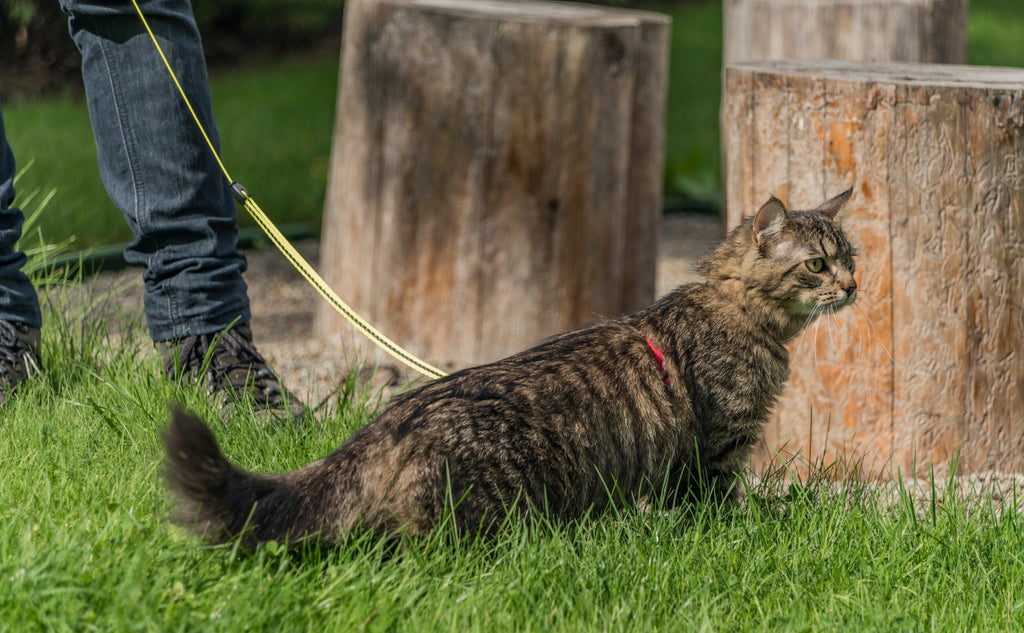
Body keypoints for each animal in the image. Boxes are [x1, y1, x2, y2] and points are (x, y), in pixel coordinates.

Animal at [163, 186, 860, 540]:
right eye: (817, 265)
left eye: (852, 258)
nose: (854, 286)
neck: (744, 314)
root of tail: (386, 425)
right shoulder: (717, 445)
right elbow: (716, 508)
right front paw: (740, 535)